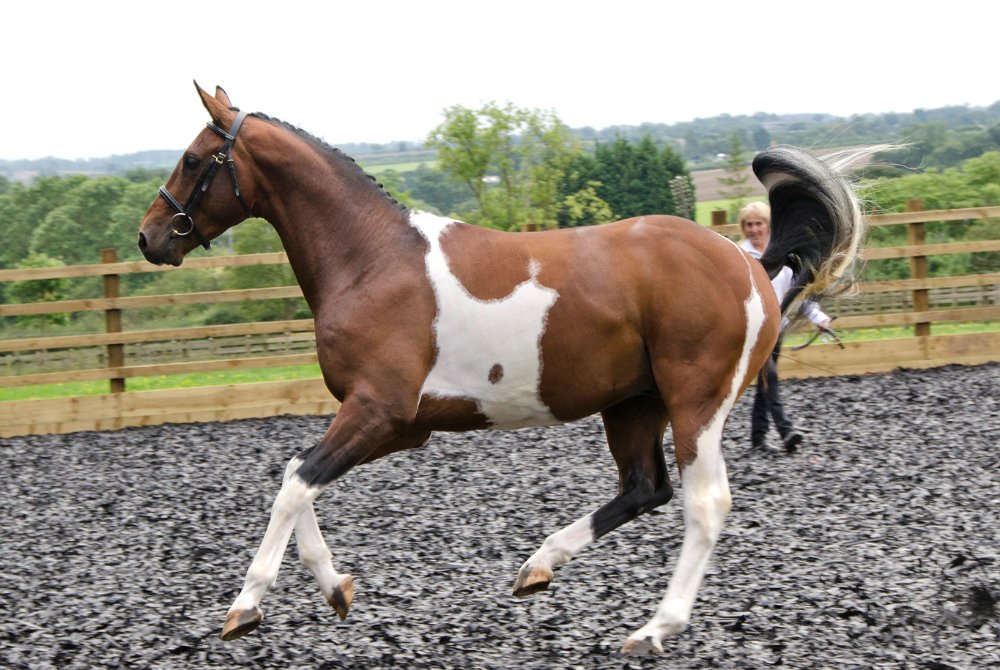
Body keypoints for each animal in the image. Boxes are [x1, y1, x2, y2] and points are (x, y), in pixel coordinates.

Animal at [138, 83, 871, 654]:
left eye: (194, 159)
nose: (149, 237)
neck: (371, 260)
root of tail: (747, 262)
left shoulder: (377, 409)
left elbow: (295, 485)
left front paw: (245, 608)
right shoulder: (399, 424)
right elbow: (301, 475)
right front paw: (336, 588)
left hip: (696, 402)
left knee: (703, 504)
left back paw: (652, 629)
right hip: (633, 404)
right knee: (644, 487)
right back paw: (537, 567)